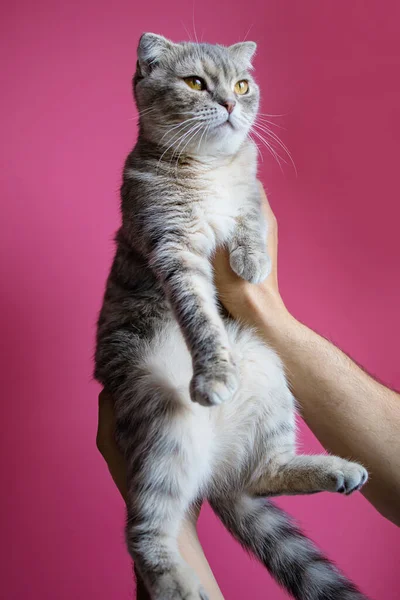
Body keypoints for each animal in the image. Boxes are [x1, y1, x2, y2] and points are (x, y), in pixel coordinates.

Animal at [94, 34, 368, 600]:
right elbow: (200, 317)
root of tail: (217, 469)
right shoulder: (172, 247)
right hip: (163, 419)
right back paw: (177, 582)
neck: (209, 170)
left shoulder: (254, 192)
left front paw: (251, 259)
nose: (228, 103)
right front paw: (214, 374)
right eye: (196, 82)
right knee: (143, 528)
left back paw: (334, 470)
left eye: (242, 85)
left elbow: (250, 215)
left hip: (269, 375)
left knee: (263, 474)